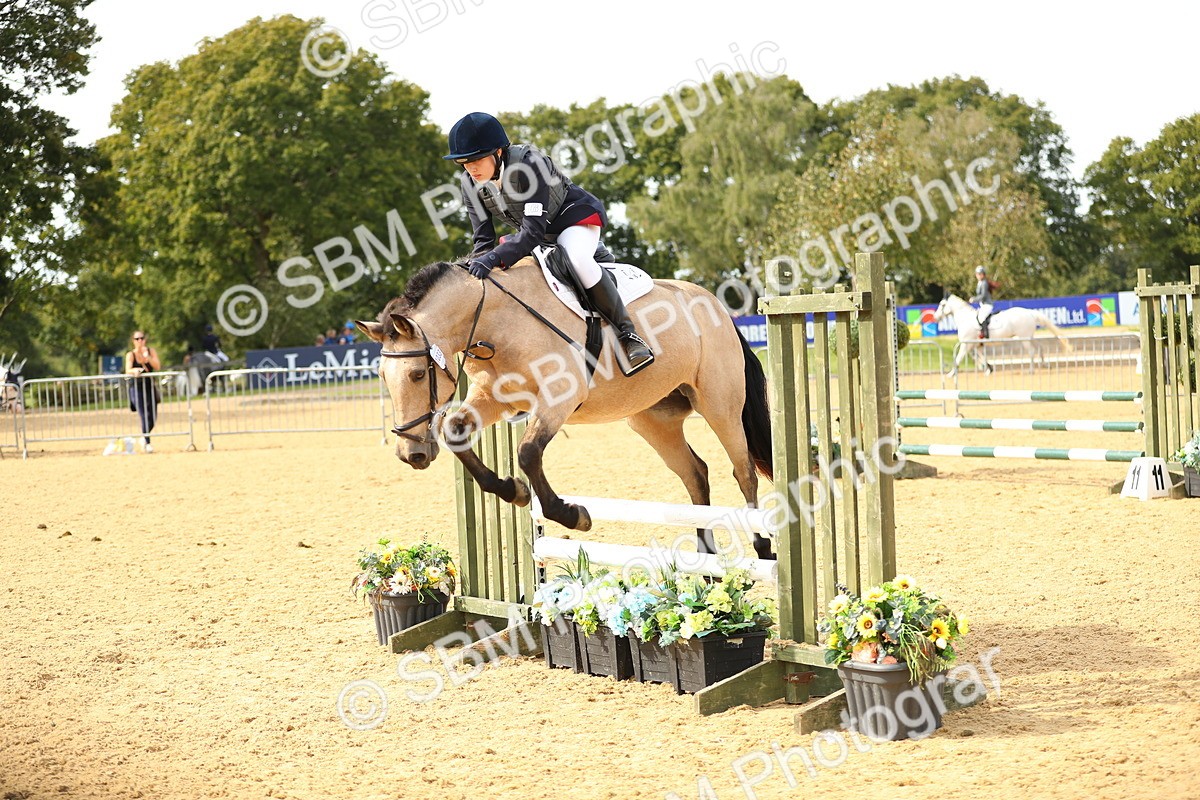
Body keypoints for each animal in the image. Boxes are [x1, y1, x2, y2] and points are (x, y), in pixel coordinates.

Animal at [357, 258, 775, 560]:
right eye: (381, 376)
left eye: (415, 375)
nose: (411, 454)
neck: (495, 321)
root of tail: (718, 308)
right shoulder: (493, 397)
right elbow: (455, 431)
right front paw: (513, 491)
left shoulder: (558, 396)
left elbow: (528, 452)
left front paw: (572, 514)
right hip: (652, 420)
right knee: (695, 474)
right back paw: (706, 559)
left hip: (720, 406)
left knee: (743, 472)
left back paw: (764, 548)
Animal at [934, 294, 1072, 377]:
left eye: (942, 305)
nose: (935, 317)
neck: (965, 318)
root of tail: (1030, 313)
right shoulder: (976, 345)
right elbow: (981, 356)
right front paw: (989, 369)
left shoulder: (965, 345)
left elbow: (958, 358)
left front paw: (951, 374)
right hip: (1029, 336)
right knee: (1039, 347)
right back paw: (1045, 365)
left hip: (1024, 338)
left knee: (1032, 351)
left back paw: (1031, 370)